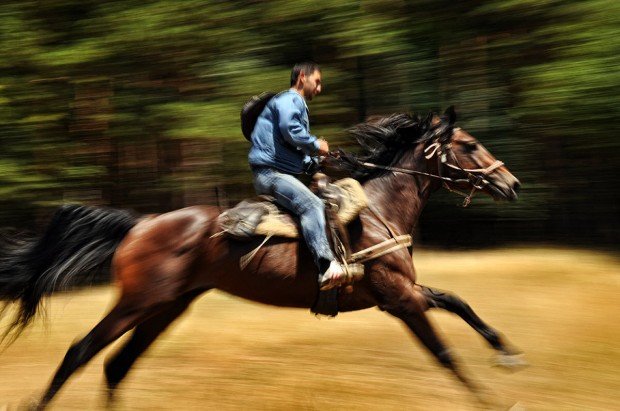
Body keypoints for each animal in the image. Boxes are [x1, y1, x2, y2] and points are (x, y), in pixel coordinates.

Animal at [0, 107, 524, 408]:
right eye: (470, 145)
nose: (512, 183)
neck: (377, 212)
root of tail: (139, 224)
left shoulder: (404, 294)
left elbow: (459, 303)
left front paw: (508, 353)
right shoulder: (401, 301)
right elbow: (445, 353)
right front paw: (491, 399)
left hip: (164, 309)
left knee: (115, 366)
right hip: (136, 304)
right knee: (80, 352)